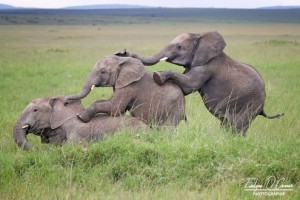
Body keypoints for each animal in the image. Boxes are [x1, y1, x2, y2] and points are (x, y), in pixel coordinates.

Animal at [115, 31, 284, 134]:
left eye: (179, 47)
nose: (122, 51)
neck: (201, 36)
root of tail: (263, 105)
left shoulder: (207, 66)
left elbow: (189, 86)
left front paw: (158, 76)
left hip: (250, 104)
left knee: (237, 127)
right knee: (227, 124)